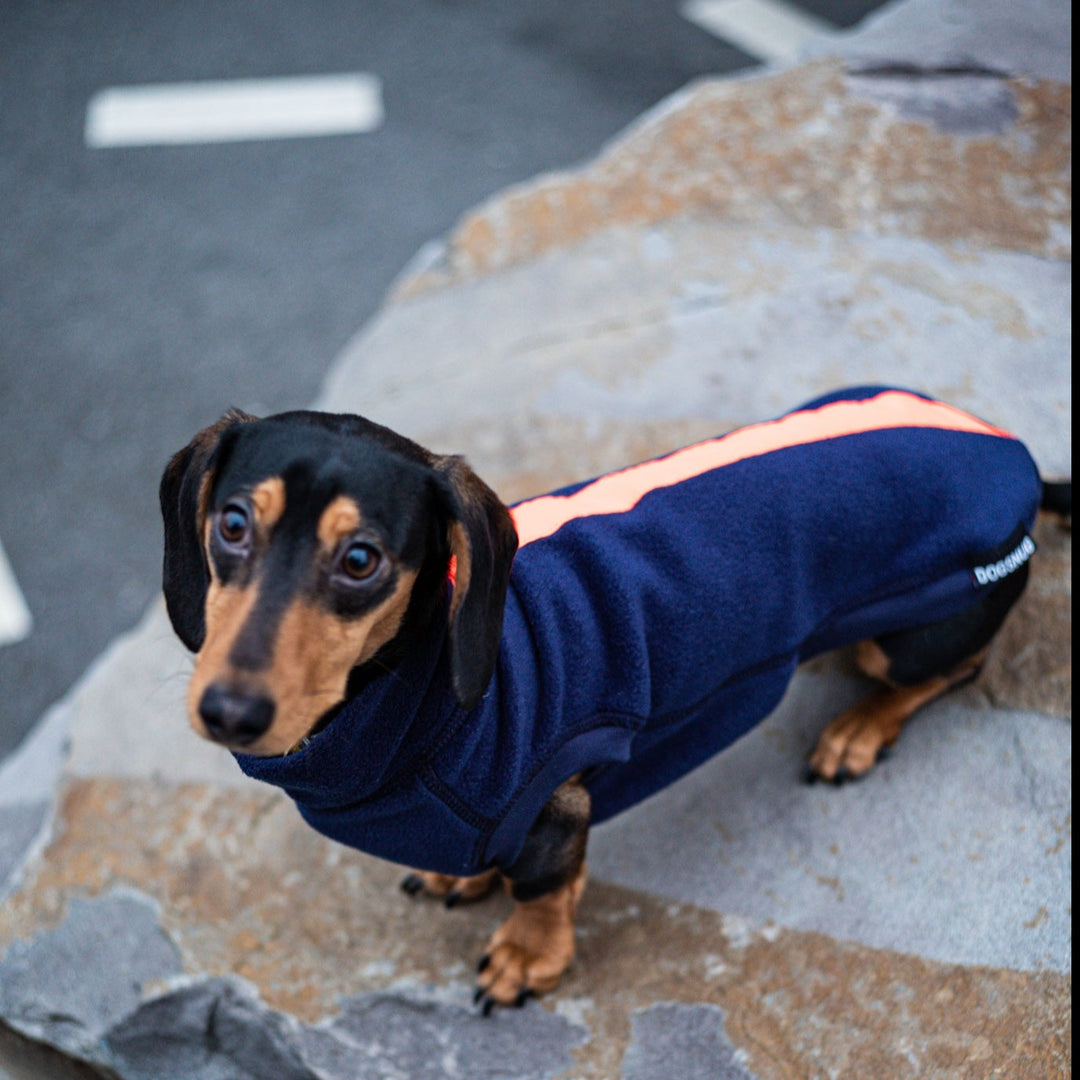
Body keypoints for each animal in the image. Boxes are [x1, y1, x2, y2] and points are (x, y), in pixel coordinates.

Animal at [157, 388, 1062, 1010]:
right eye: (231, 523)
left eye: (360, 560)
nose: (229, 712)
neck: (418, 694)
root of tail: (1008, 450)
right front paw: (464, 879)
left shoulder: (551, 803)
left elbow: (541, 889)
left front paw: (528, 958)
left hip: (924, 621)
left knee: (951, 672)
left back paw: (860, 728)